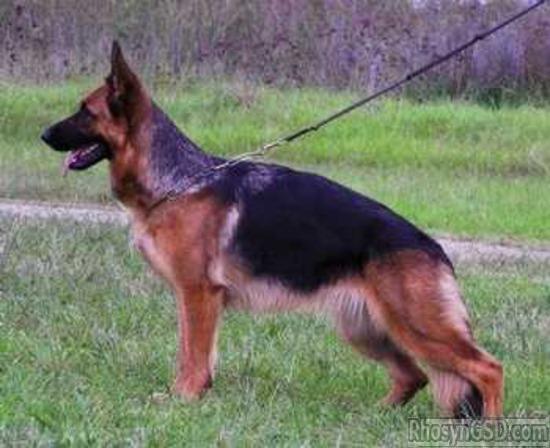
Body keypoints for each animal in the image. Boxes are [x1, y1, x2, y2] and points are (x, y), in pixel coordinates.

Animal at [41, 41, 503, 418]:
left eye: (85, 111)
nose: (42, 134)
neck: (178, 182)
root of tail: (434, 248)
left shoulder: (198, 294)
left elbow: (194, 355)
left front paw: (185, 398)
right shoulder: (189, 298)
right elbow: (188, 351)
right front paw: (183, 395)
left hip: (415, 327)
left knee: (488, 368)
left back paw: (491, 427)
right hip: (365, 328)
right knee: (416, 377)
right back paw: (376, 414)